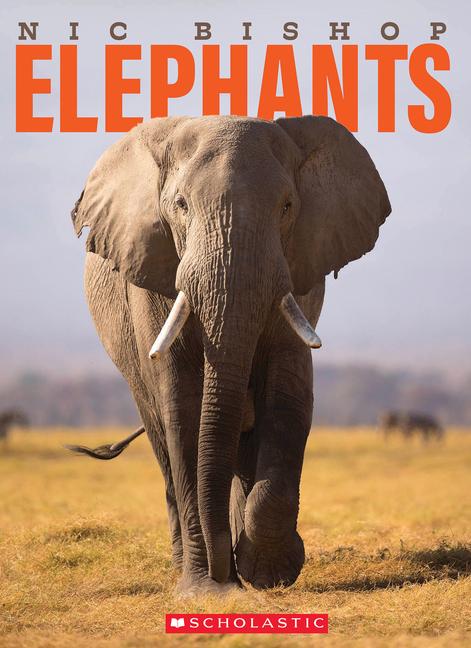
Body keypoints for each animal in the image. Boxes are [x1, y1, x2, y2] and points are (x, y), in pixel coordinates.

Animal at [69, 115, 390, 595]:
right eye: (180, 205)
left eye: (287, 206)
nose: (224, 572)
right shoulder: (152, 275)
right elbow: (184, 410)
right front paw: (206, 589)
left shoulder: (298, 273)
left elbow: (289, 398)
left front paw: (269, 573)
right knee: (165, 443)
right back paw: (191, 563)